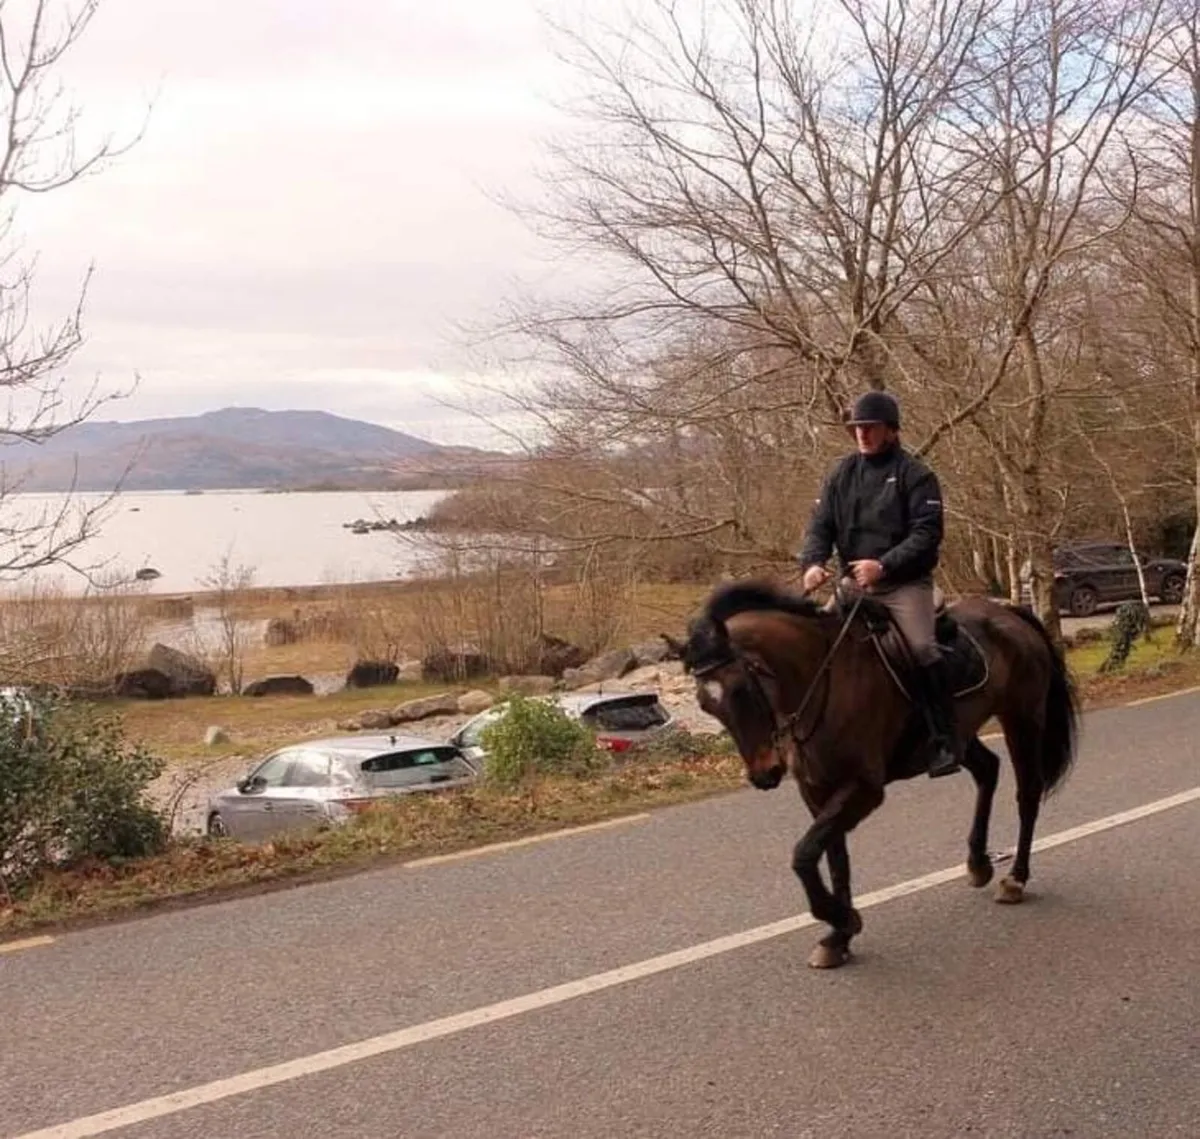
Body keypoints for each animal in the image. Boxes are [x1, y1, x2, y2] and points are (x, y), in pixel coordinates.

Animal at [665, 579, 1080, 969]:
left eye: (740, 689)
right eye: (706, 704)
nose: (764, 774)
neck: (823, 679)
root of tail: (1009, 612)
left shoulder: (863, 790)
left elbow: (804, 855)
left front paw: (840, 918)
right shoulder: (818, 792)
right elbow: (832, 859)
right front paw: (838, 937)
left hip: (1023, 720)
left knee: (1027, 795)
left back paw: (1016, 879)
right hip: (963, 733)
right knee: (988, 771)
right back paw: (978, 863)